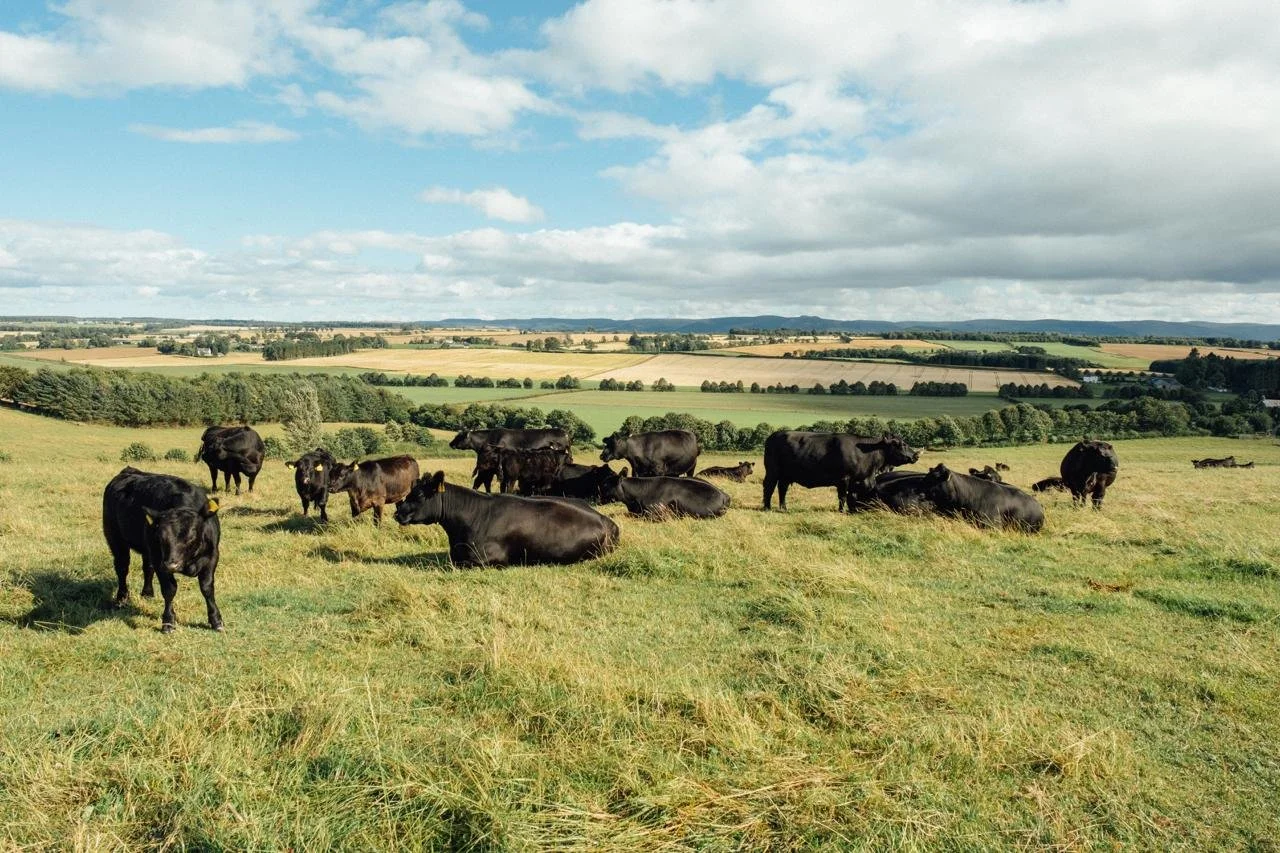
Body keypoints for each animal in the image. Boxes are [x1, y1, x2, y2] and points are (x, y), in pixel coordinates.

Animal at [102, 467, 223, 633]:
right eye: (160, 535)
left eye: (192, 535)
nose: (171, 565)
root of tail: (128, 470)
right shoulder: (160, 560)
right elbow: (169, 589)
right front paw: (168, 621)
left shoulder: (212, 556)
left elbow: (207, 587)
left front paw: (216, 620)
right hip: (116, 539)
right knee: (122, 568)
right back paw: (121, 598)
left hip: (147, 549)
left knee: (147, 568)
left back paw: (147, 593)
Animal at [762, 431, 921, 512]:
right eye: (901, 444)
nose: (915, 455)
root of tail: (773, 435)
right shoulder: (844, 479)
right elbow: (843, 496)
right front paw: (841, 511)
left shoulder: (856, 481)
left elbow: (852, 496)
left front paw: (851, 510)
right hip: (773, 471)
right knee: (769, 487)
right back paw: (767, 507)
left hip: (785, 475)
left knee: (782, 489)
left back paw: (784, 508)